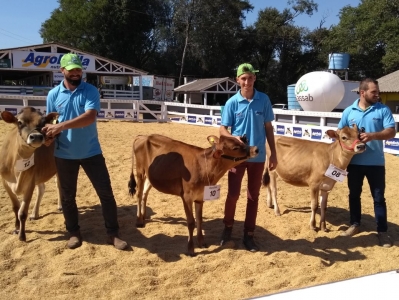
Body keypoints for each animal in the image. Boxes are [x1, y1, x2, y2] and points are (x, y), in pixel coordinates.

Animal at [0, 107, 60, 241]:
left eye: (42, 122)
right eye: (19, 122)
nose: (36, 137)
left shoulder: (30, 182)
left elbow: (22, 212)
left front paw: (22, 236)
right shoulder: (5, 182)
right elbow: (15, 207)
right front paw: (16, 228)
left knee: (59, 186)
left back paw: (60, 206)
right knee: (42, 189)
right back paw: (34, 214)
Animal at [128, 134, 260, 255]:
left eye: (243, 141)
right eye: (235, 147)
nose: (256, 149)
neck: (204, 167)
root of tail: (143, 136)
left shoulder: (200, 196)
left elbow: (199, 219)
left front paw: (201, 242)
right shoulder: (187, 197)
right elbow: (191, 222)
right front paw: (191, 249)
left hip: (151, 176)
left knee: (145, 193)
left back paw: (144, 216)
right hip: (140, 171)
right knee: (139, 194)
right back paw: (139, 220)